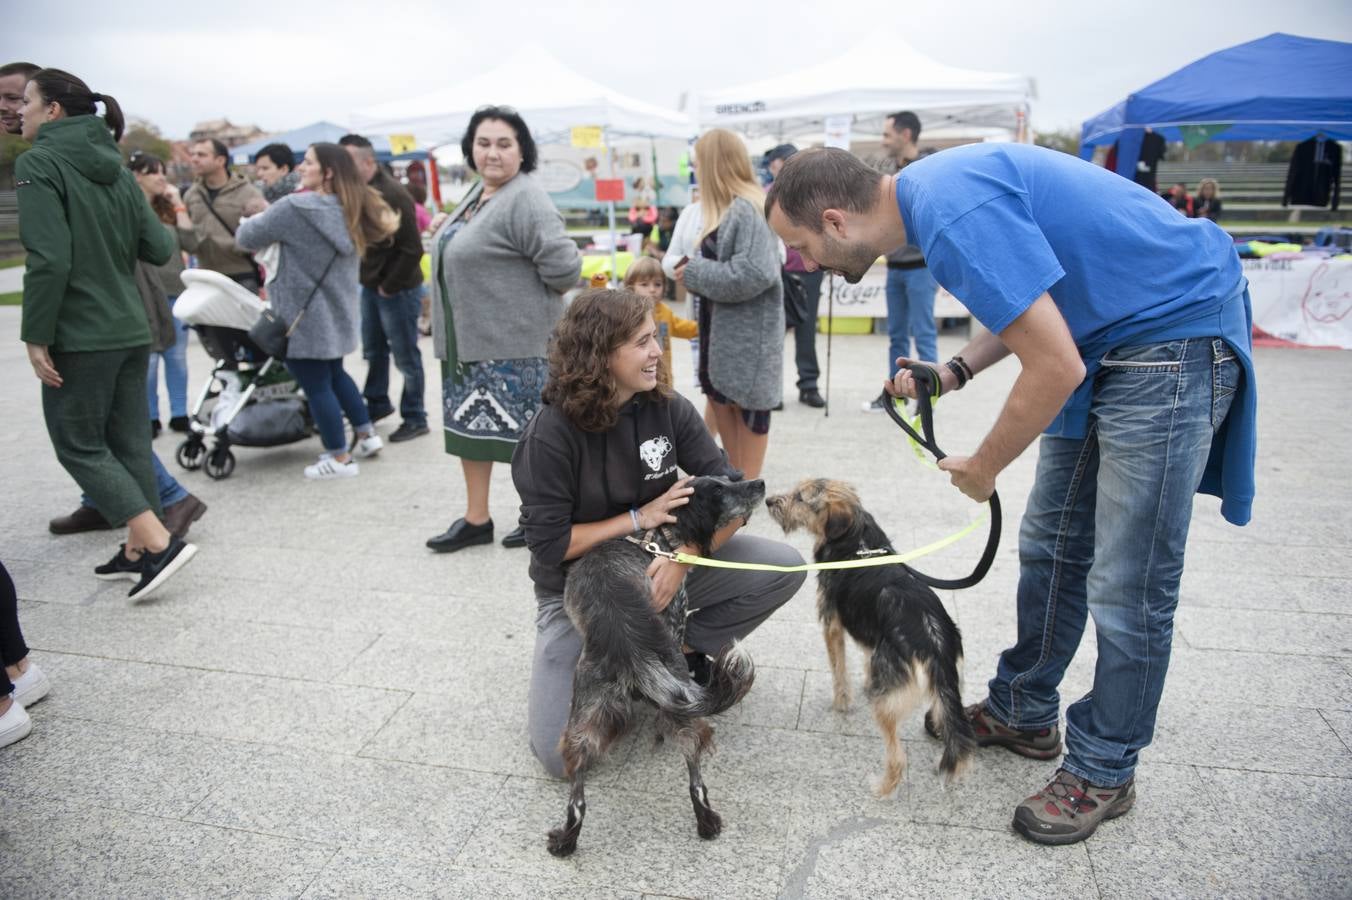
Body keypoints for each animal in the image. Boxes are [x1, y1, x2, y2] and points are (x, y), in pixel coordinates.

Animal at [546, 472, 762, 854]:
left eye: (731, 476)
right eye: (718, 488)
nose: (761, 483)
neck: (658, 538)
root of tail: (627, 646)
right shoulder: (676, 614)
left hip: (582, 721)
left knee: (578, 800)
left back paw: (565, 841)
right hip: (680, 709)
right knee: (696, 777)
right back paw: (707, 822)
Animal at [773, 475, 973, 794]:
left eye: (800, 498)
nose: (769, 501)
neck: (857, 541)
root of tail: (934, 641)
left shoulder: (831, 624)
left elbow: (839, 670)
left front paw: (841, 704)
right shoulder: (869, 631)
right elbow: (867, 657)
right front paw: (866, 683)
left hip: (888, 704)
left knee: (898, 756)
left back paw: (882, 788)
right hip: (947, 695)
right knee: (956, 738)